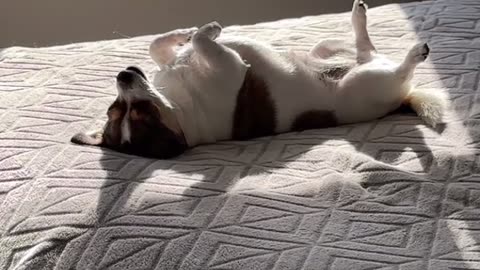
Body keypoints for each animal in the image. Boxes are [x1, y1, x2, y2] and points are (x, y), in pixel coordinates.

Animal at [71, 0, 446, 159]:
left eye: (116, 108)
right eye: (137, 112)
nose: (123, 74)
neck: (179, 106)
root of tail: (403, 98)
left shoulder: (167, 63)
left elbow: (160, 45)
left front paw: (185, 33)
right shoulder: (232, 68)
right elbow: (205, 42)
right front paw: (207, 29)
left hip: (341, 57)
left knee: (360, 47)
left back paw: (353, 23)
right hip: (367, 82)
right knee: (397, 68)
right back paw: (415, 52)